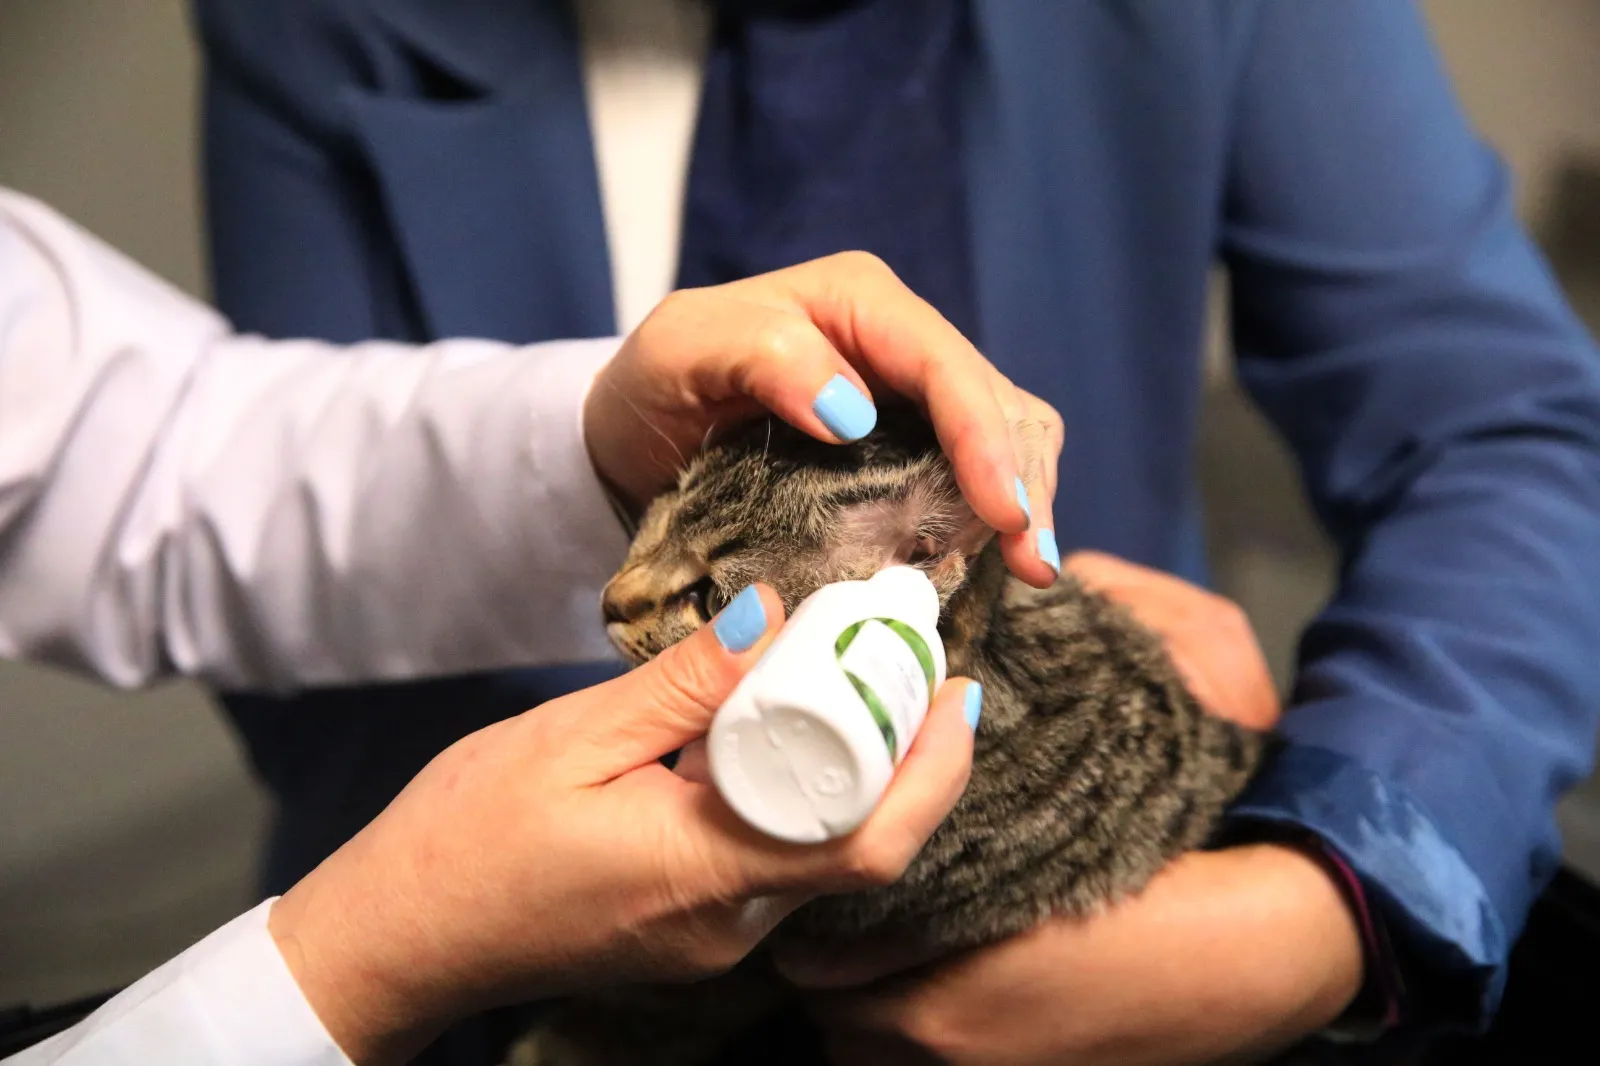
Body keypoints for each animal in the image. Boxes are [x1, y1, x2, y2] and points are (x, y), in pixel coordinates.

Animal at [512, 404, 1273, 1062]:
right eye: (665, 513)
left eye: (710, 599)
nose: (611, 601)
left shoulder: (769, 956)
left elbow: (653, 1006)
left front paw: (556, 1044)